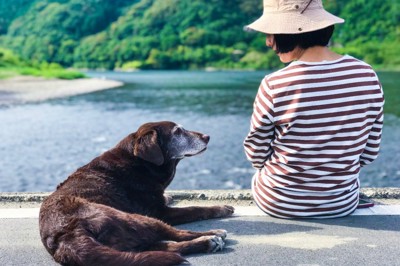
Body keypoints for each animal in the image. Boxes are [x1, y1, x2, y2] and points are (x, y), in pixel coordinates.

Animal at [39, 121, 234, 264]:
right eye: (178, 131)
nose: (207, 137)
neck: (139, 162)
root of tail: (67, 236)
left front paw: (169, 196)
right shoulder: (160, 212)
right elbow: (196, 209)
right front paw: (222, 208)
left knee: (166, 246)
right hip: (140, 219)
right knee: (178, 234)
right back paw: (212, 236)